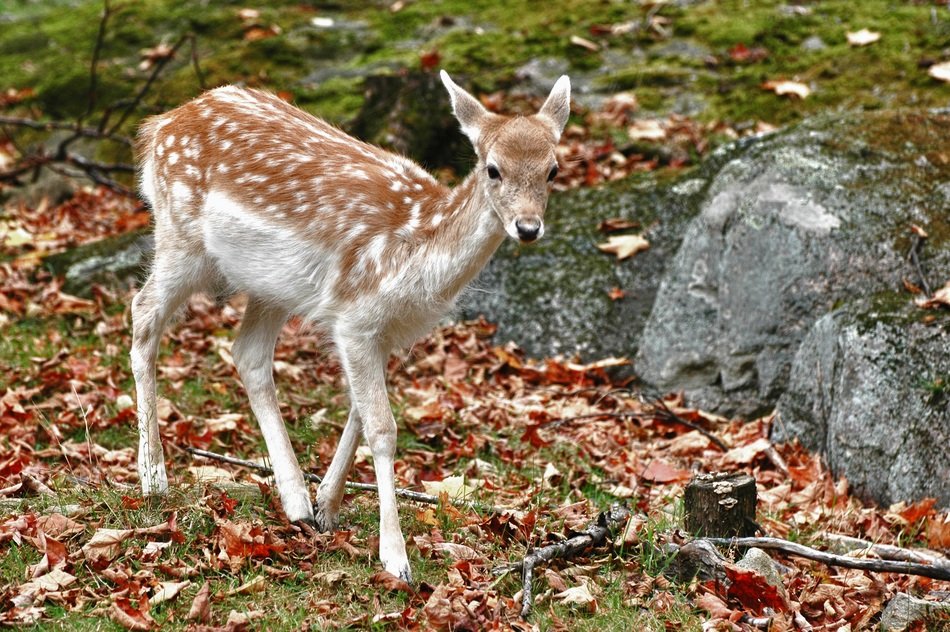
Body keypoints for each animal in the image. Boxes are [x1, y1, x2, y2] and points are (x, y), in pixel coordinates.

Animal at [131, 70, 570, 582]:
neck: (418, 260)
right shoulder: (356, 319)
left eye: (553, 170)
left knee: (247, 354)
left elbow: (359, 413)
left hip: (271, 285)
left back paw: (296, 500)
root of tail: (158, 126)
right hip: (180, 238)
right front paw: (395, 557)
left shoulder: (385, 332)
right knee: (142, 313)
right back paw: (154, 478)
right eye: (492, 169)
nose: (527, 227)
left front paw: (328, 505)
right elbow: (382, 427)